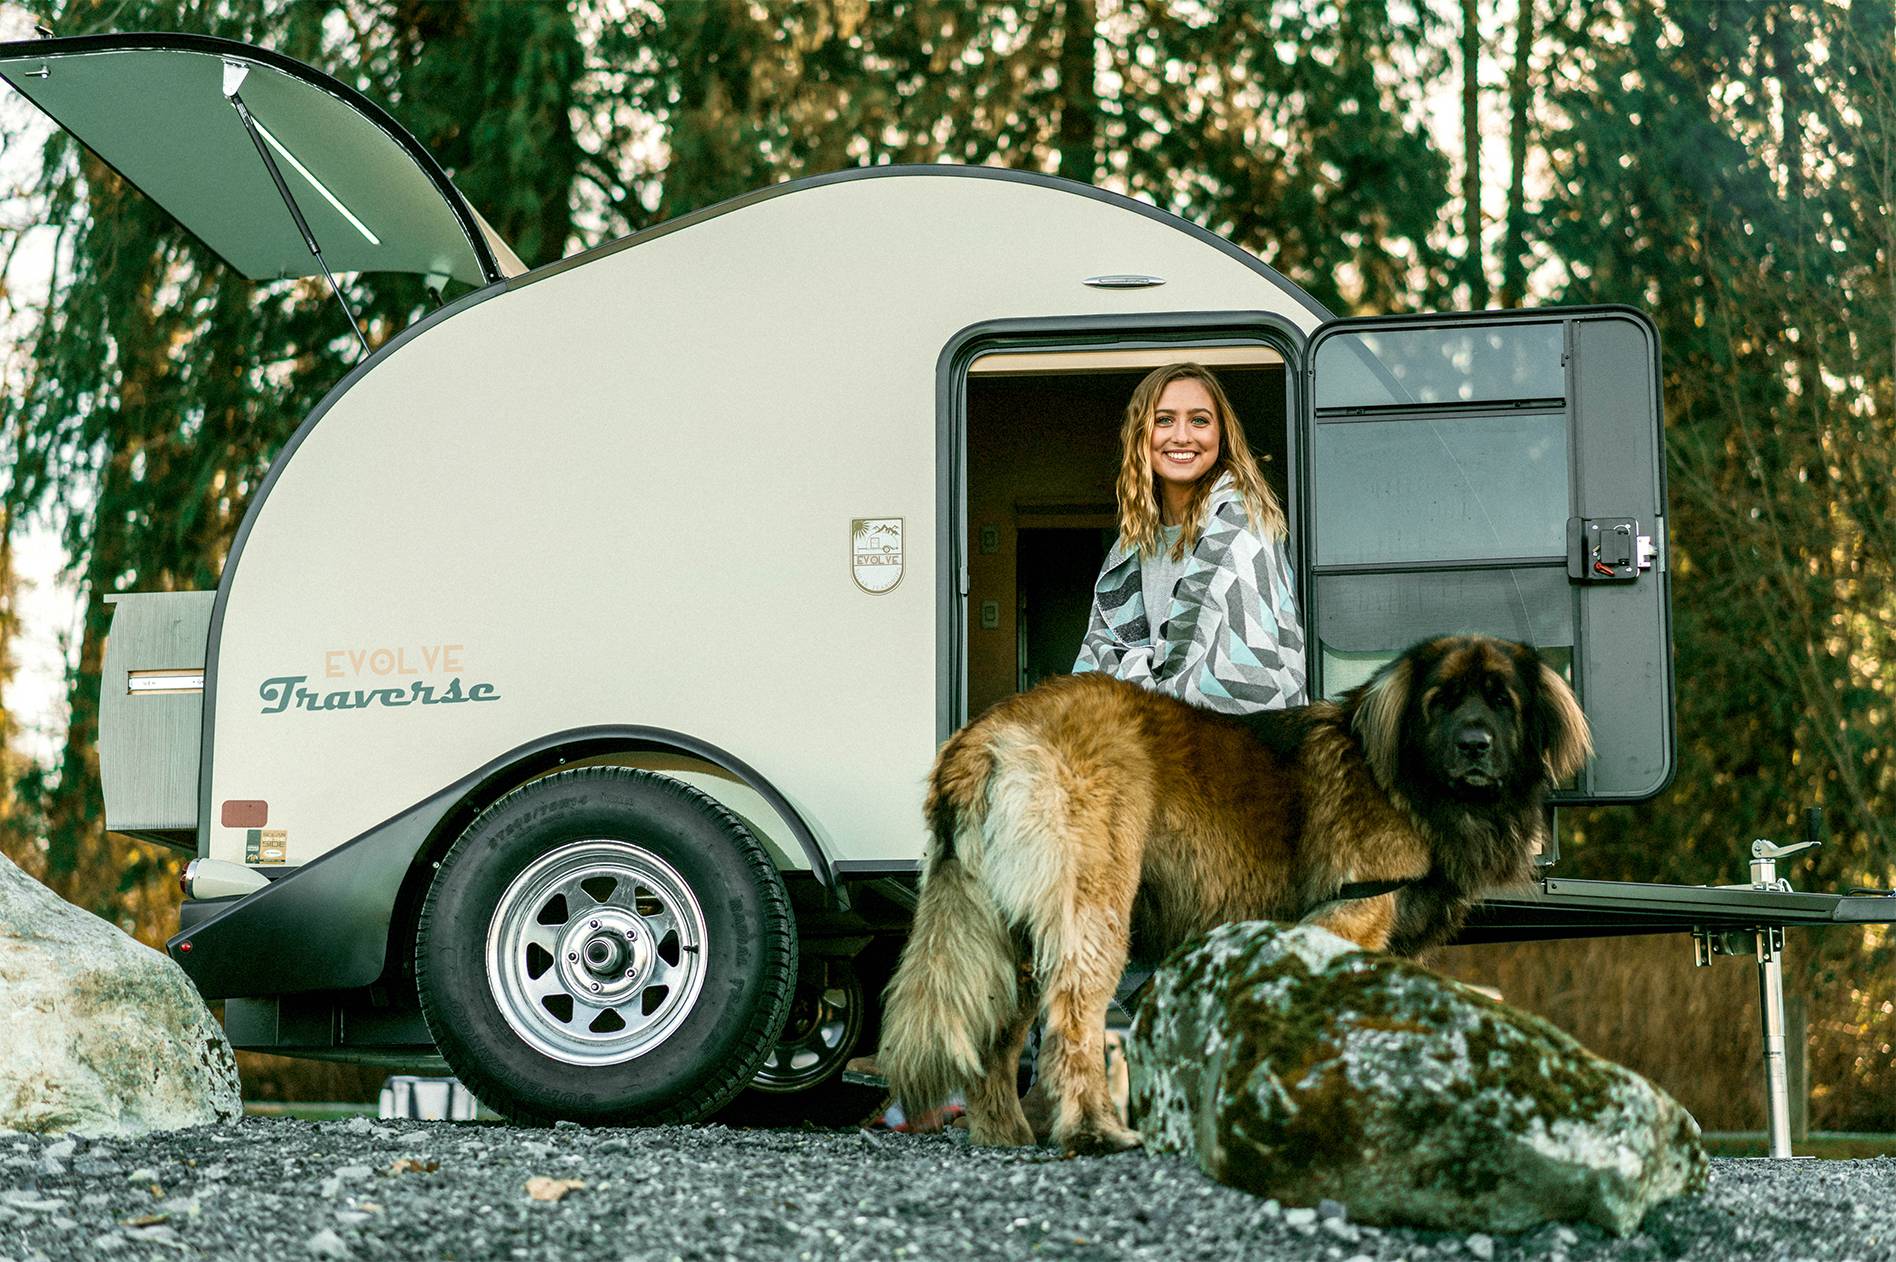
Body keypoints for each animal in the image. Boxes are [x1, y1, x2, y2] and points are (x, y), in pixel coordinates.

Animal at [879, 632, 1592, 1152]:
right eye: (1439, 701)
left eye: (1502, 701)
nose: (1475, 745)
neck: (1402, 782)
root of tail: (988, 732)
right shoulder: (1345, 920)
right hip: (1092, 908)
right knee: (1072, 1023)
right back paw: (1094, 1130)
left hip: (1011, 924)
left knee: (996, 1042)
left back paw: (1006, 1136)